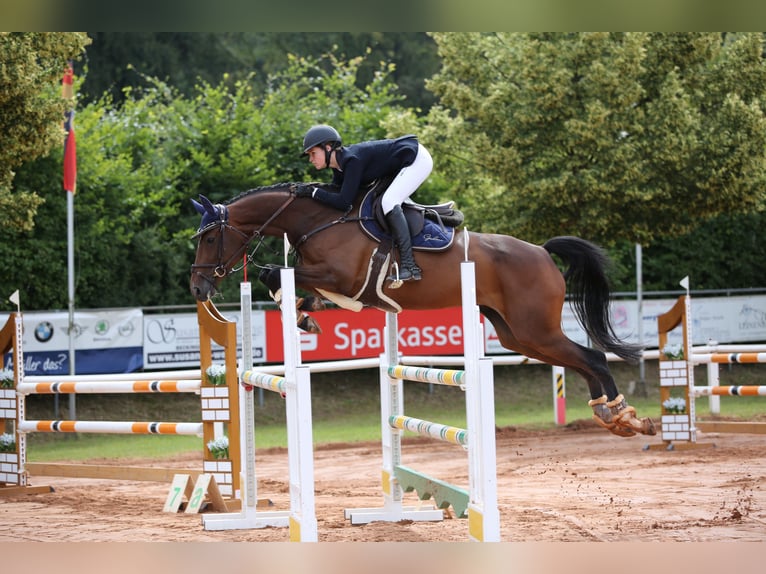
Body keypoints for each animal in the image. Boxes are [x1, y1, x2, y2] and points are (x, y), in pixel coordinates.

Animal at [190, 182, 656, 438]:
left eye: (210, 239)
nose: (197, 287)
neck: (318, 220)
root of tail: (542, 251)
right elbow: (299, 287)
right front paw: (307, 312)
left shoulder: (340, 275)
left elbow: (274, 273)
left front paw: (301, 312)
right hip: (518, 334)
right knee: (582, 360)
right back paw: (611, 414)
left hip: (535, 329)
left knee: (593, 356)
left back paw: (624, 416)